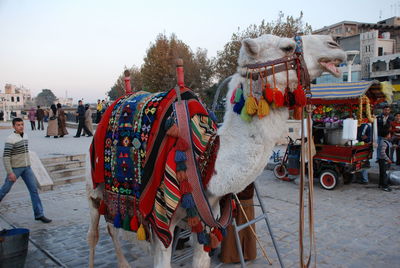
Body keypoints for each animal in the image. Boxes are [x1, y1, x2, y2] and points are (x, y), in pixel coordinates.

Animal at [86, 34, 346, 268]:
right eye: (288, 47)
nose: (335, 44)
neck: (207, 159)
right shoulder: (161, 220)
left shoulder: (207, 217)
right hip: (94, 185)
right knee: (98, 232)